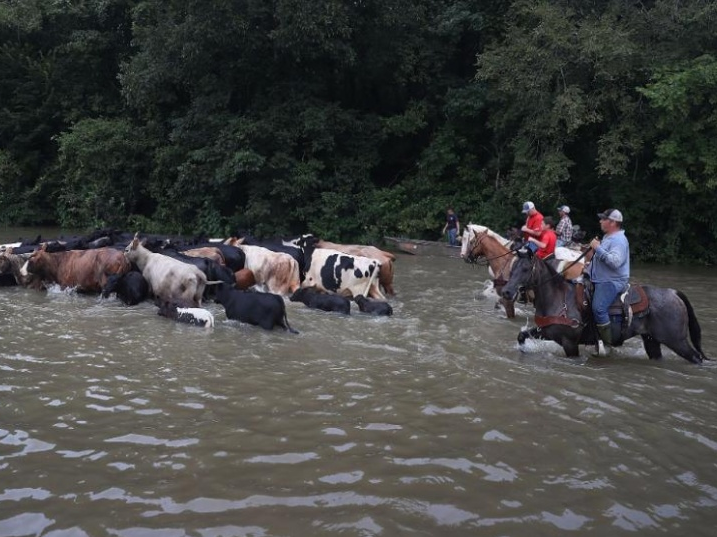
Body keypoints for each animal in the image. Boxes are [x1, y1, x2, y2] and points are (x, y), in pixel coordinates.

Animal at [500, 249, 708, 362]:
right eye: (513, 266)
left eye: (526, 268)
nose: (507, 292)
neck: (558, 297)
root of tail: (673, 292)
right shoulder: (546, 331)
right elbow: (521, 336)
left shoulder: (570, 343)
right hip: (652, 341)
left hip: (677, 341)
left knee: (696, 357)